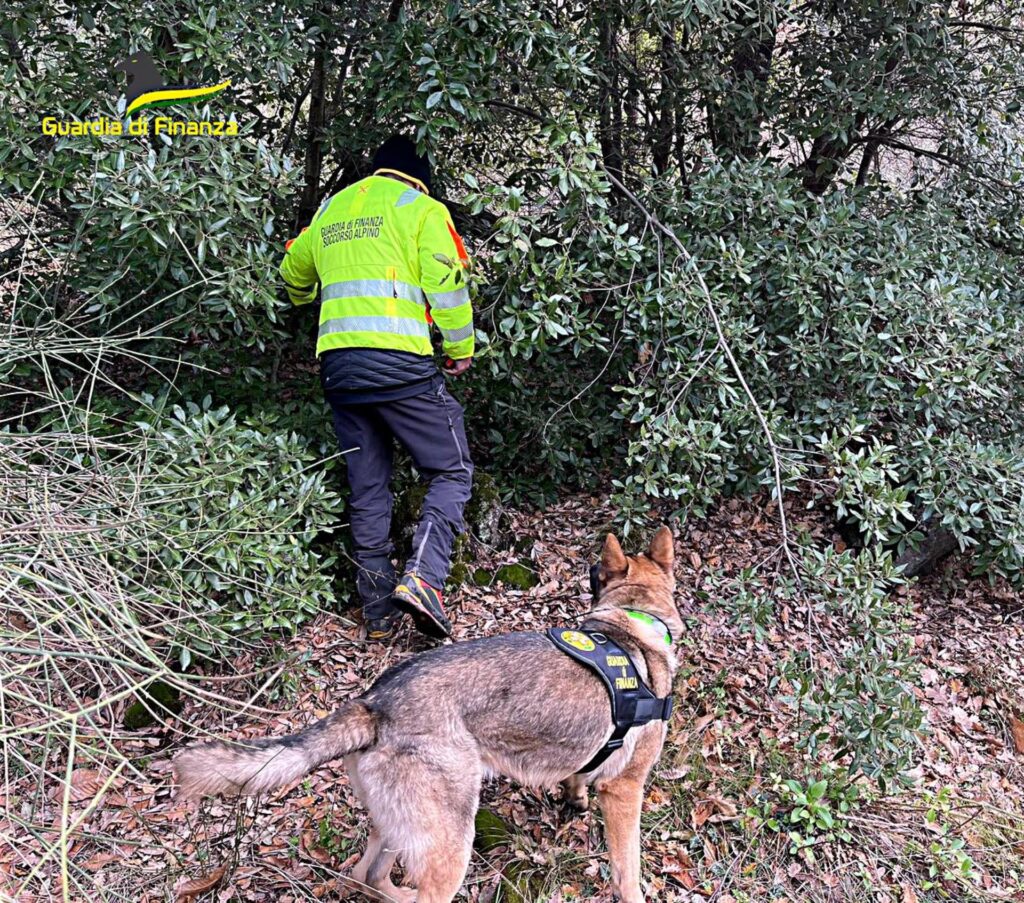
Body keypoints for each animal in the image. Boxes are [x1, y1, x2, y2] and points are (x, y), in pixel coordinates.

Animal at [173, 528, 684, 900]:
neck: (632, 623)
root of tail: (375, 704)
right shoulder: (626, 791)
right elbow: (627, 872)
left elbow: (577, 777)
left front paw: (574, 799)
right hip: (452, 846)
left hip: (396, 829)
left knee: (366, 875)